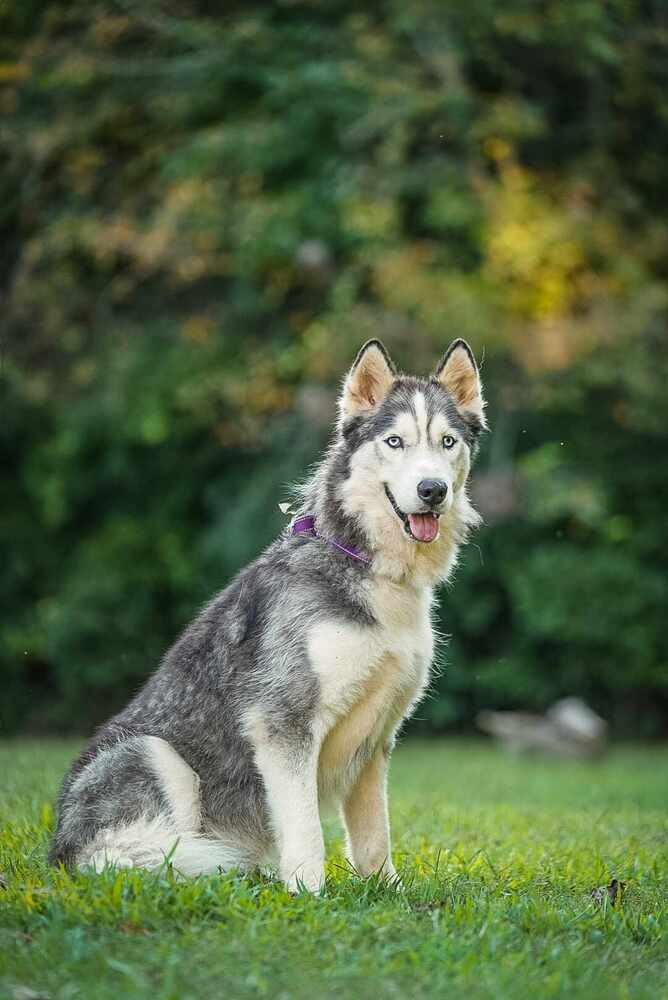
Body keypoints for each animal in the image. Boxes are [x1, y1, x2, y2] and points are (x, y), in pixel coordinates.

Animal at [48, 340, 486, 896]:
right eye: (395, 442)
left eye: (448, 442)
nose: (432, 490)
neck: (369, 567)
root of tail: (60, 849)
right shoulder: (283, 724)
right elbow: (305, 830)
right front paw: (308, 895)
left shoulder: (375, 738)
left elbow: (374, 837)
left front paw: (388, 894)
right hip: (153, 755)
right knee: (131, 856)